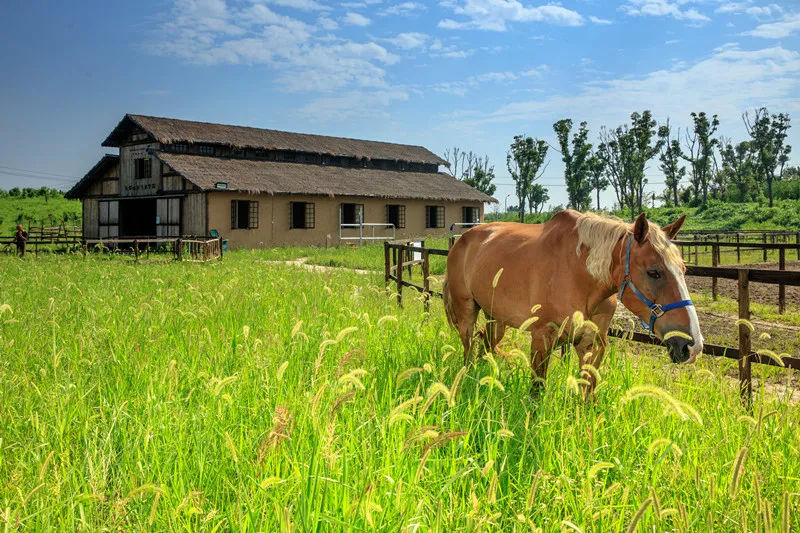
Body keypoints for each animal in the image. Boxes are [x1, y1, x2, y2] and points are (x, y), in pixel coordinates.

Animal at [444, 208, 708, 394]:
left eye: (684, 269)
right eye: (654, 272)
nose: (692, 346)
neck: (578, 275)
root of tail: (462, 239)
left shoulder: (592, 343)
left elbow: (587, 396)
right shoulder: (542, 338)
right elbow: (536, 393)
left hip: (496, 319)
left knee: (484, 346)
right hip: (466, 312)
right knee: (469, 348)